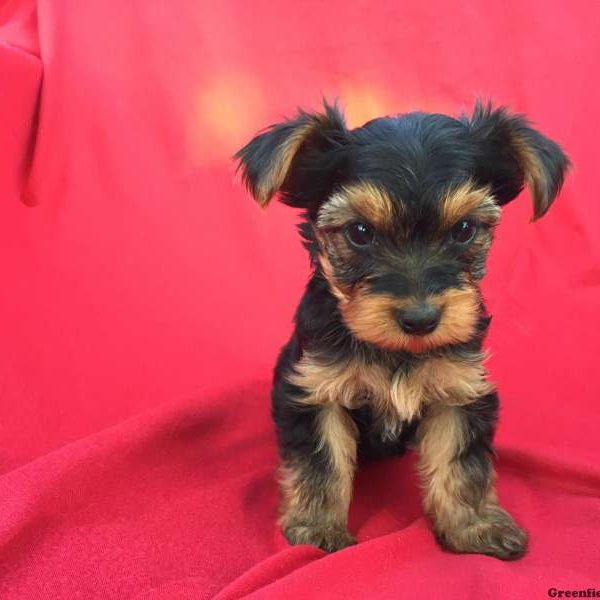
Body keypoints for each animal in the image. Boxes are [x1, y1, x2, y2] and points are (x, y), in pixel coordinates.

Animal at [233, 102, 568, 556]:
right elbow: (322, 460)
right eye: (359, 232)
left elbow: (462, 461)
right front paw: (316, 529)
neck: (395, 350)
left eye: (464, 230)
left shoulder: (460, 389)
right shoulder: (315, 387)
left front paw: (475, 526)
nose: (421, 319)